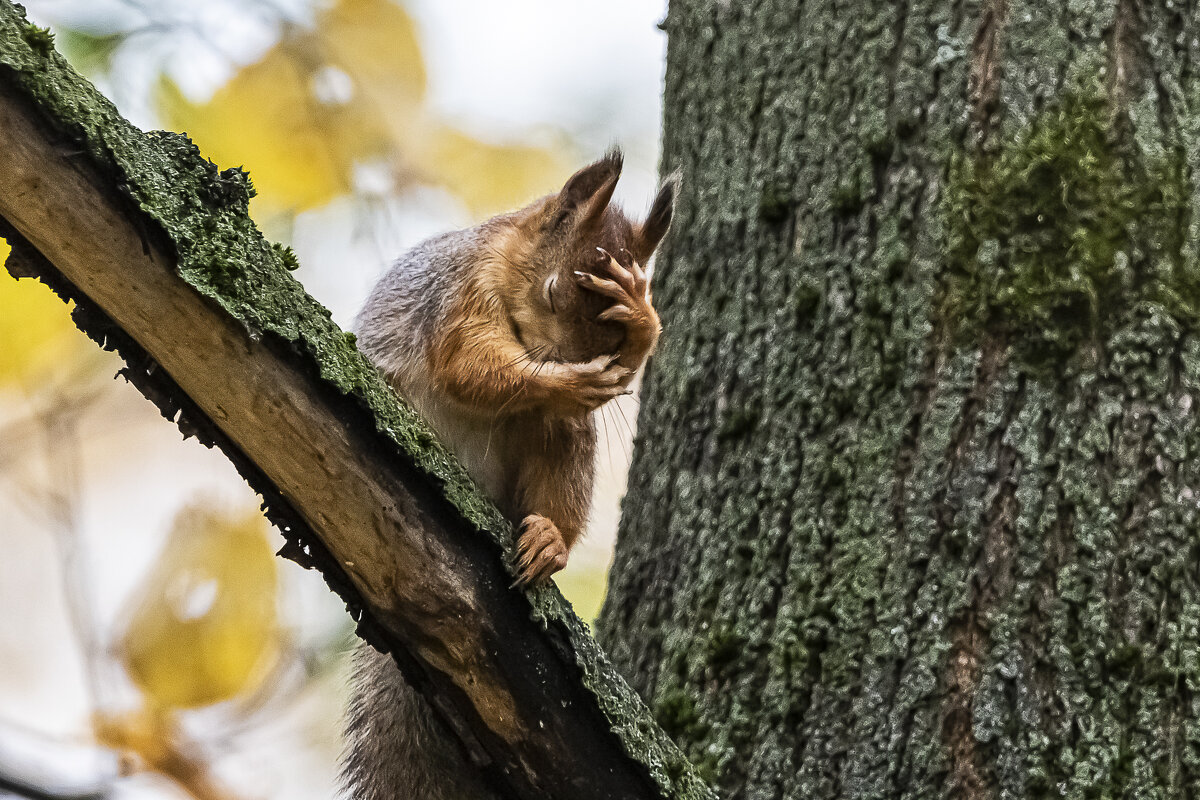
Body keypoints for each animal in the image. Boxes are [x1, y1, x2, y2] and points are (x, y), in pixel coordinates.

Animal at [340, 151, 676, 800]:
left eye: (615, 331)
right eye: (551, 290)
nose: (570, 360)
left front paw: (643, 318)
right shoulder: (459, 292)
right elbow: (467, 364)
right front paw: (563, 381)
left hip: (564, 449)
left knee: (558, 446)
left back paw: (548, 539)